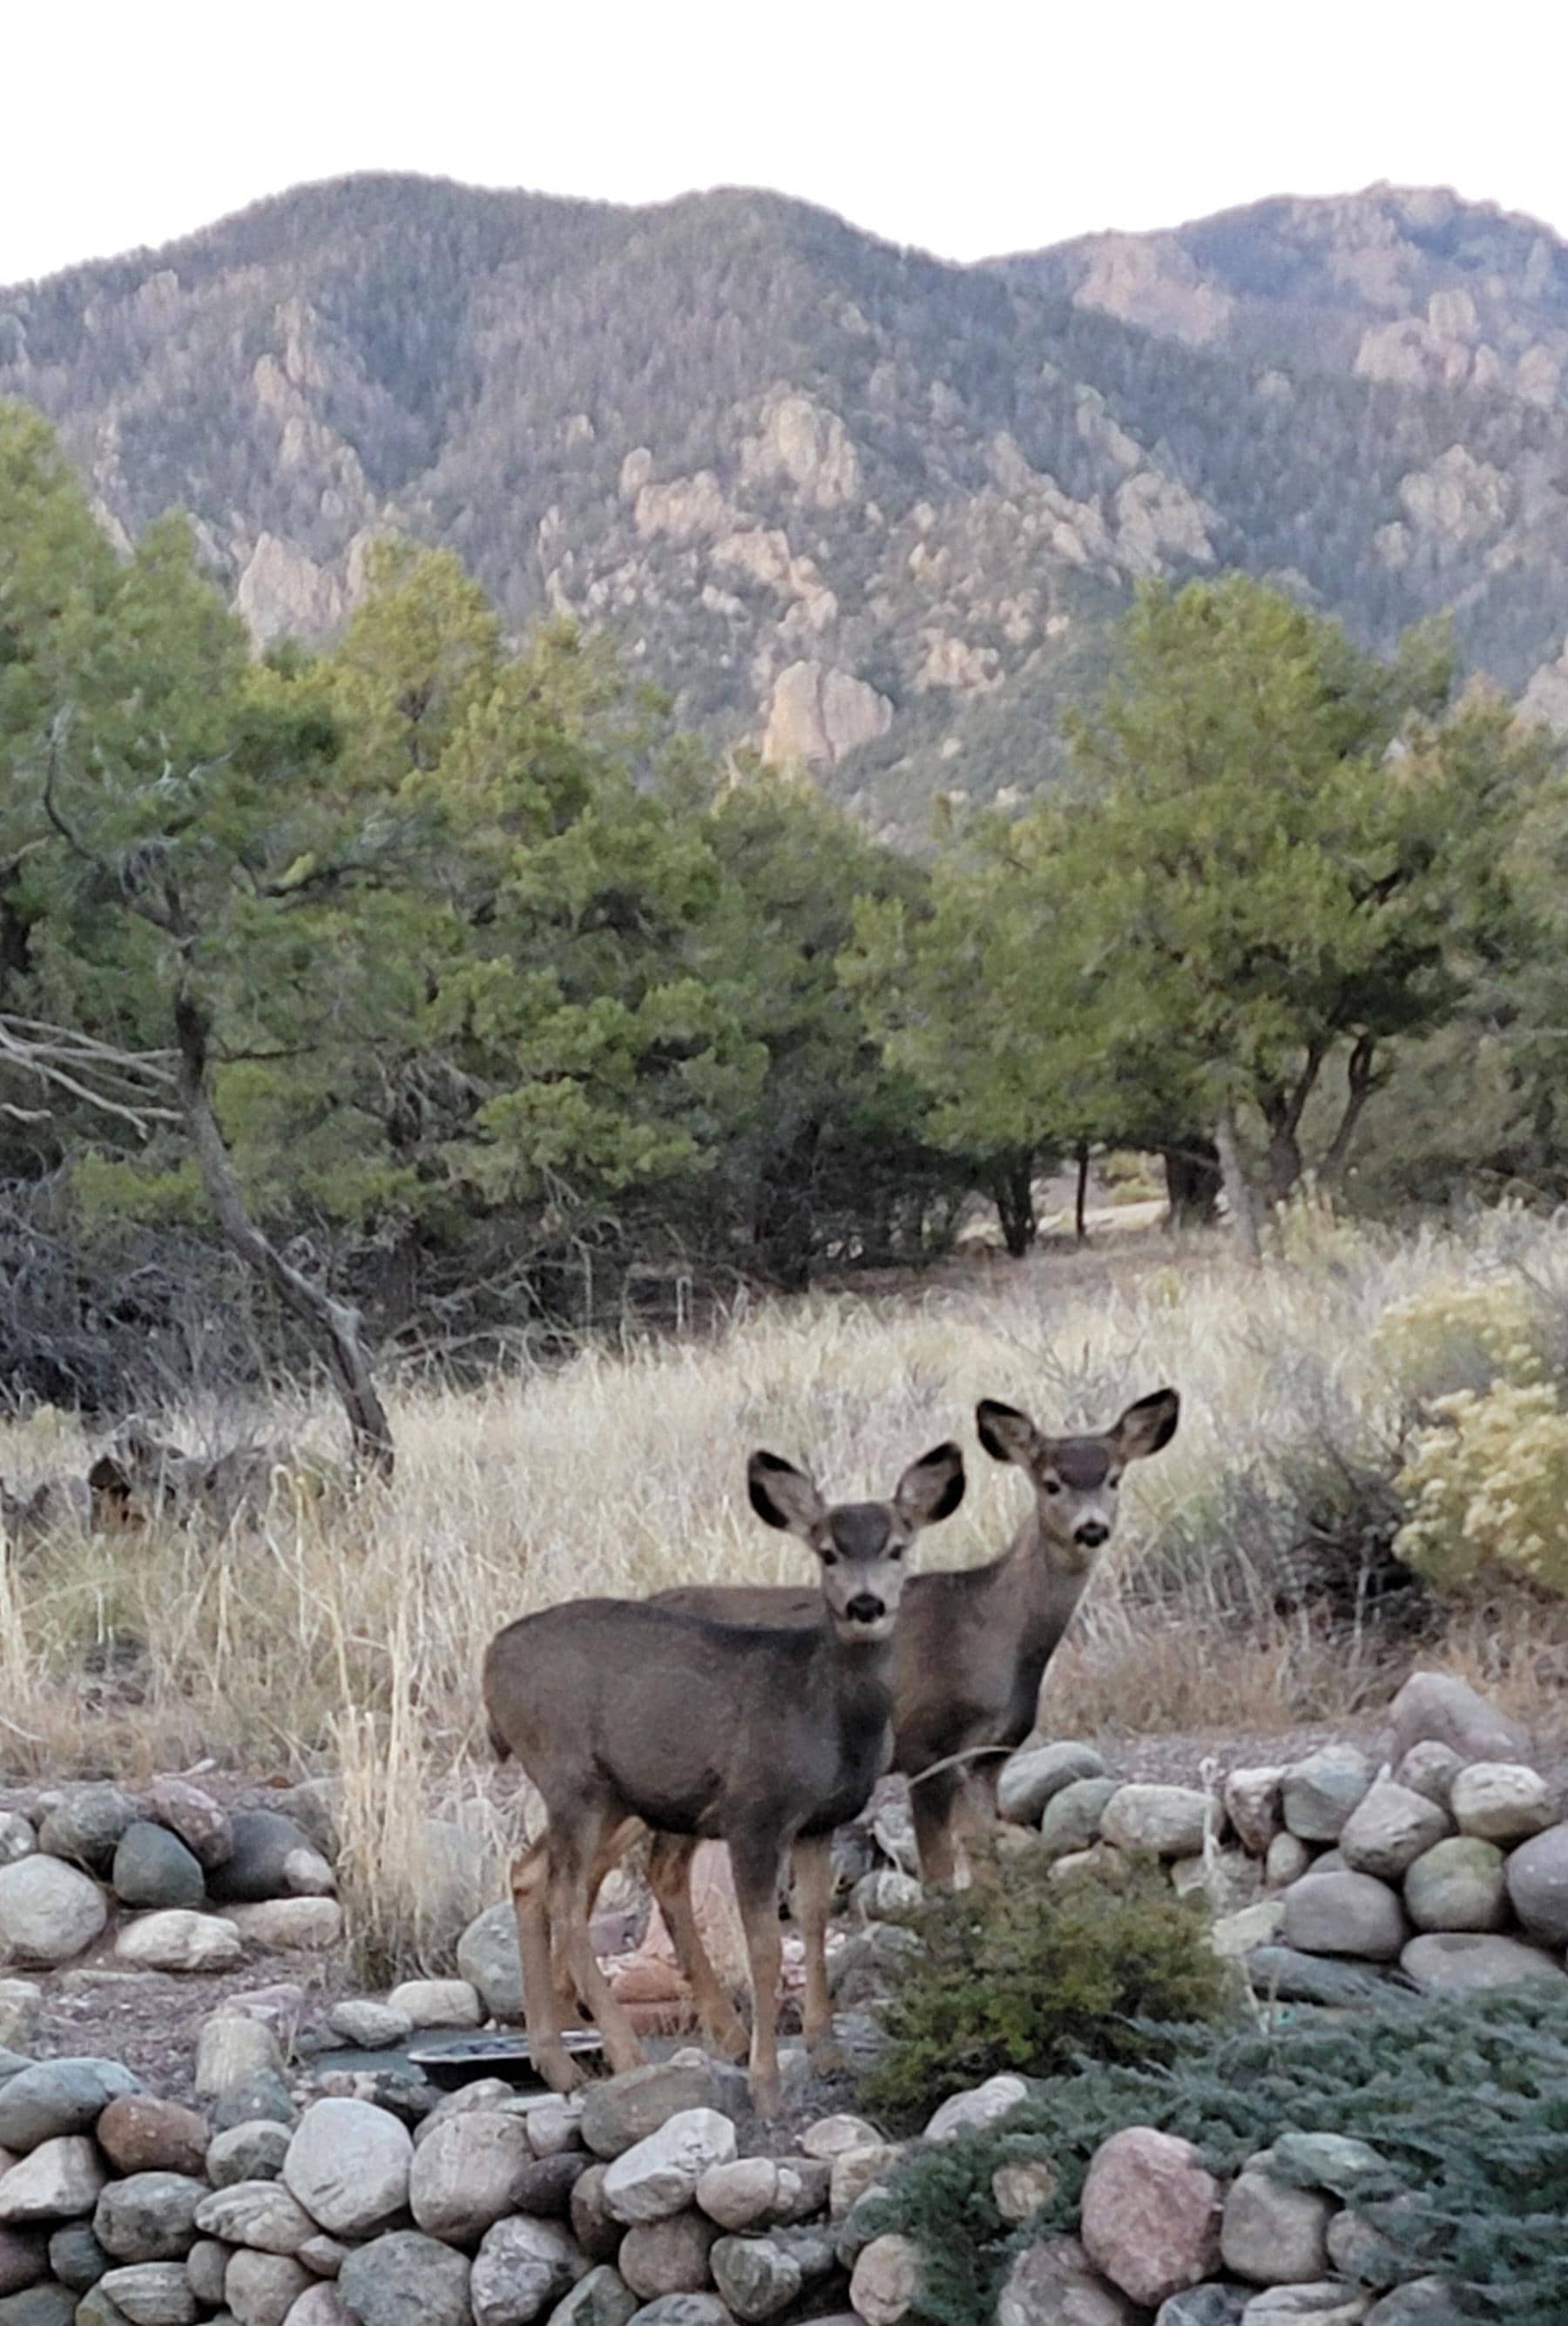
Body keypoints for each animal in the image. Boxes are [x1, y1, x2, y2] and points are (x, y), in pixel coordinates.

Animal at [481, 1437, 966, 2113]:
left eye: (897, 1546)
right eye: (828, 1551)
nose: (865, 1604)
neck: (826, 1713)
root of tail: (489, 1665)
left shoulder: (820, 1821)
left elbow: (814, 1923)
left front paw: (828, 2053)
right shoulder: (754, 1814)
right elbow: (764, 1946)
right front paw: (767, 2082)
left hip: (607, 1795)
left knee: (529, 1874)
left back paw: (559, 2065)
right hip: (571, 1777)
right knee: (568, 1896)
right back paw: (626, 2056)